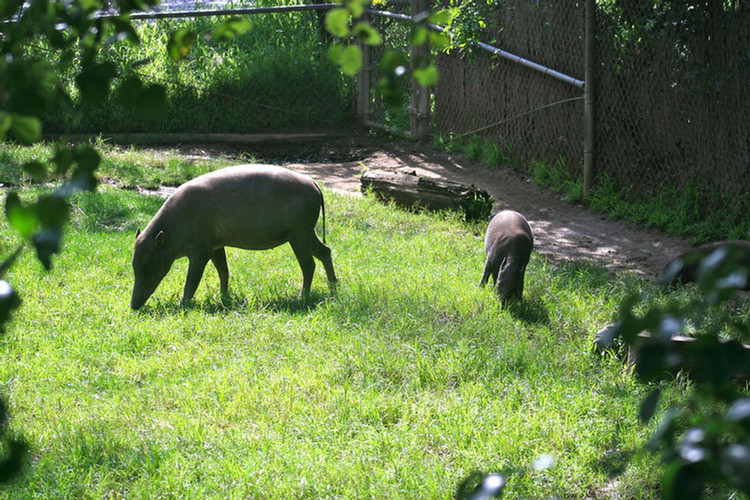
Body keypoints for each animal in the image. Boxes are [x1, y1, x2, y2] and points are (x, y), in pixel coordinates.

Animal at [131, 165, 338, 308]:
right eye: (133, 266)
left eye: (150, 265)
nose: (133, 306)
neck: (172, 229)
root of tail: (314, 184)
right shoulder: (216, 246)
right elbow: (224, 271)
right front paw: (223, 297)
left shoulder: (200, 251)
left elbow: (192, 280)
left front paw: (183, 305)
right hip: (306, 233)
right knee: (325, 252)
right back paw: (334, 289)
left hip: (299, 234)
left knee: (309, 265)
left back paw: (303, 297)